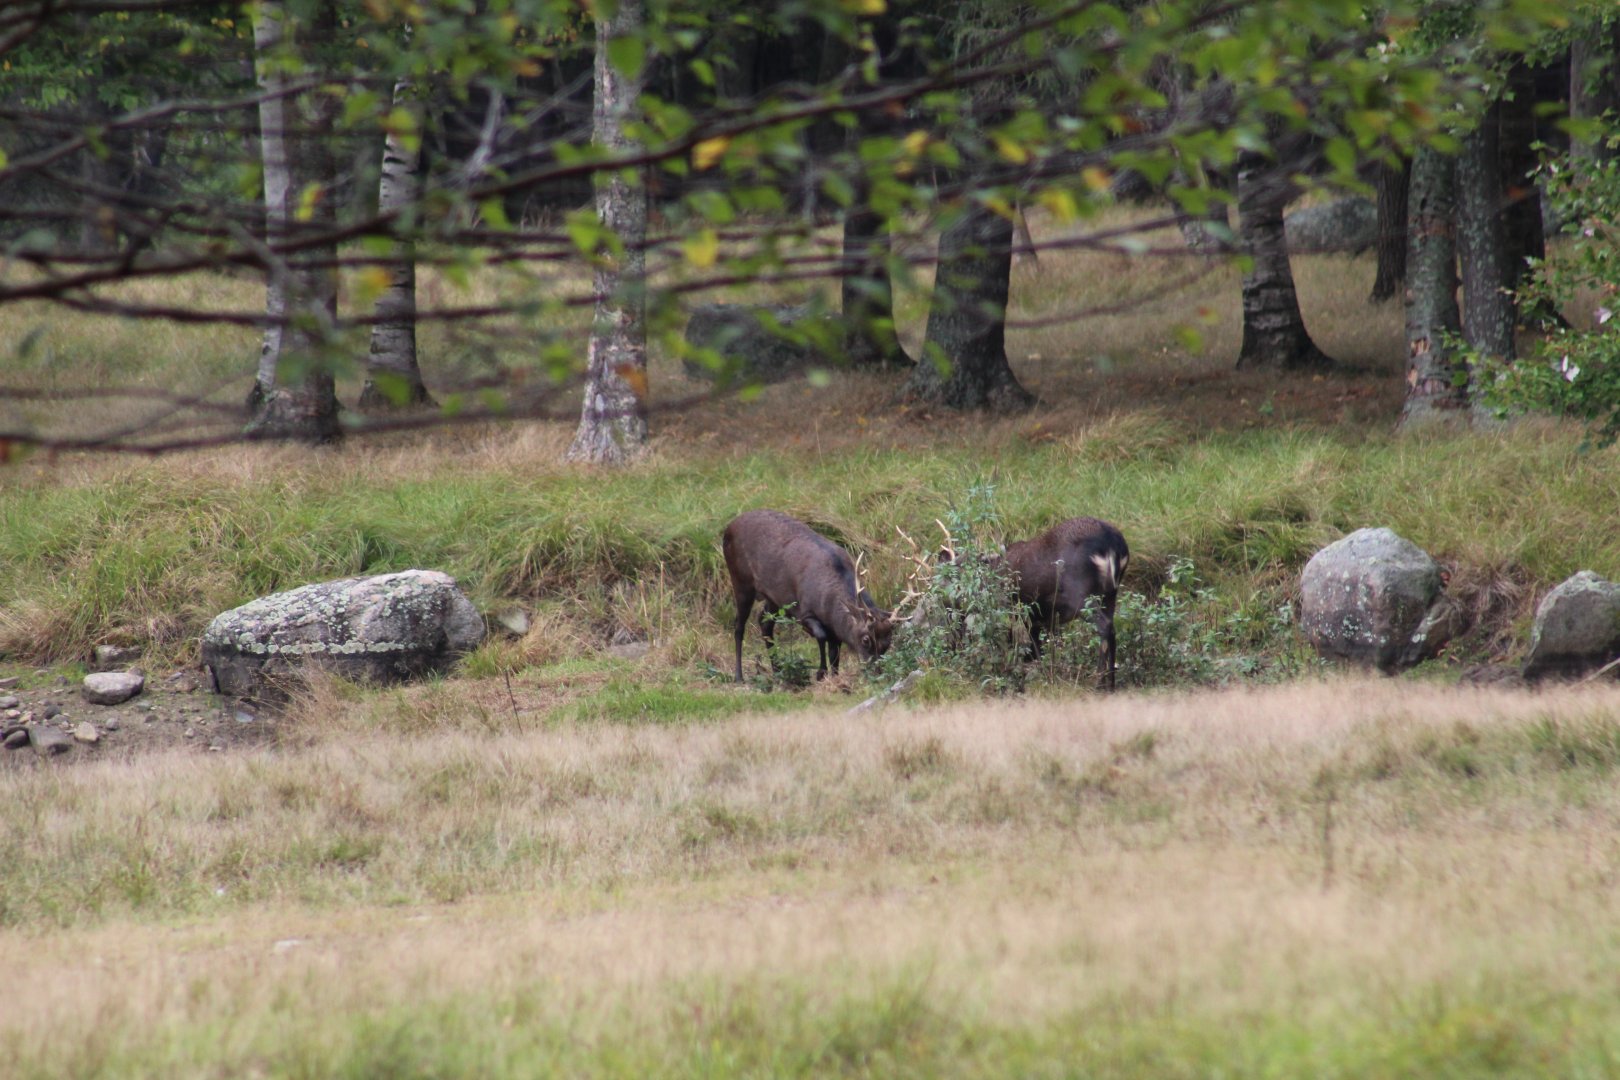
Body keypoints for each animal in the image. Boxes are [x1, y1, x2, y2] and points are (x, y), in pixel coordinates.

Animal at [723, 510, 898, 682]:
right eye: (866, 639)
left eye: (887, 643)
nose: (876, 672)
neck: (828, 606)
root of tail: (729, 526)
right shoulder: (804, 612)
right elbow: (821, 636)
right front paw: (820, 673)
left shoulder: (835, 628)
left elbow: (834, 654)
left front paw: (835, 677)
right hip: (740, 580)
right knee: (739, 626)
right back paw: (739, 676)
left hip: (774, 598)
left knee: (764, 622)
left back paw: (777, 670)